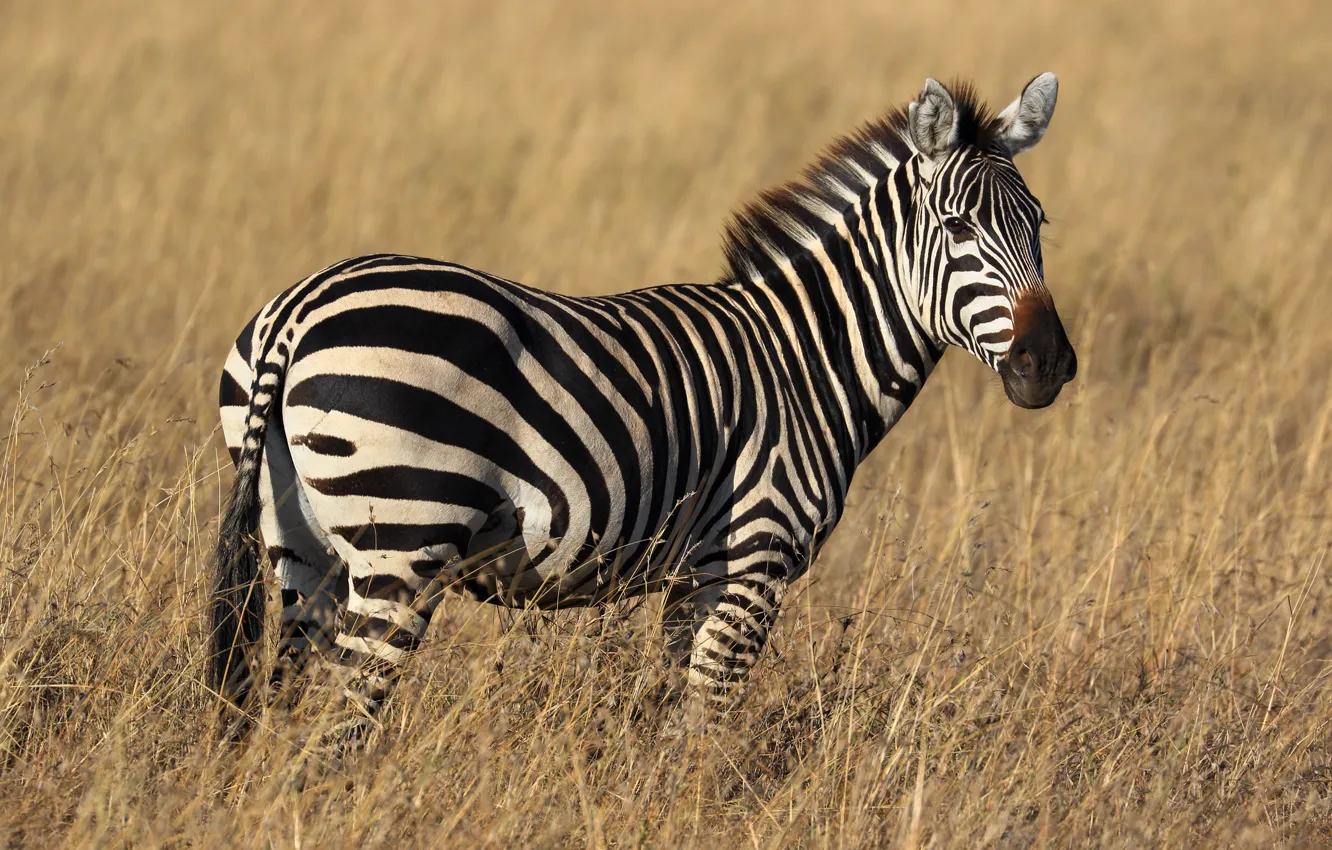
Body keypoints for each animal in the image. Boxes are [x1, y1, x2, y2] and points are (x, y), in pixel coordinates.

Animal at [210, 74, 1076, 734]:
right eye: (957, 227)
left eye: (1040, 224)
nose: (1050, 366)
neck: (807, 358)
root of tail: (298, 312)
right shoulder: (750, 562)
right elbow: (705, 730)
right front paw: (700, 810)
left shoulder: (693, 579)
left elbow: (670, 718)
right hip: (402, 542)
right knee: (335, 732)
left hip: (303, 549)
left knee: (282, 715)